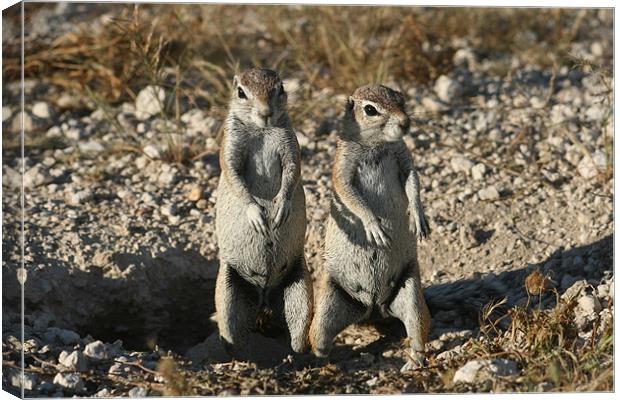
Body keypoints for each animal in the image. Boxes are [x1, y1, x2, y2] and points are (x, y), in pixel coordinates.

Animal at [214, 67, 312, 358]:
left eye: (280, 88)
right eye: (241, 92)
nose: (266, 111)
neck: (262, 130)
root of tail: (264, 294)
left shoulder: (291, 145)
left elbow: (292, 171)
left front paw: (281, 209)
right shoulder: (230, 146)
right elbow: (234, 176)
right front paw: (257, 215)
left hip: (301, 287)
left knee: (297, 334)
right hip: (228, 293)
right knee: (232, 337)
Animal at [310, 83, 432, 372]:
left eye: (401, 99)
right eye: (370, 110)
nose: (405, 122)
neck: (377, 144)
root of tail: (373, 309)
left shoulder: (404, 158)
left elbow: (414, 182)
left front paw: (418, 217)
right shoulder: (342, 168)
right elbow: (352, 196)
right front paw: (374, 226)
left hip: (411, 294)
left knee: (417, 330)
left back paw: (413, 362)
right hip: (326, 308)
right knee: (320, 341)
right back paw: (326, 365)